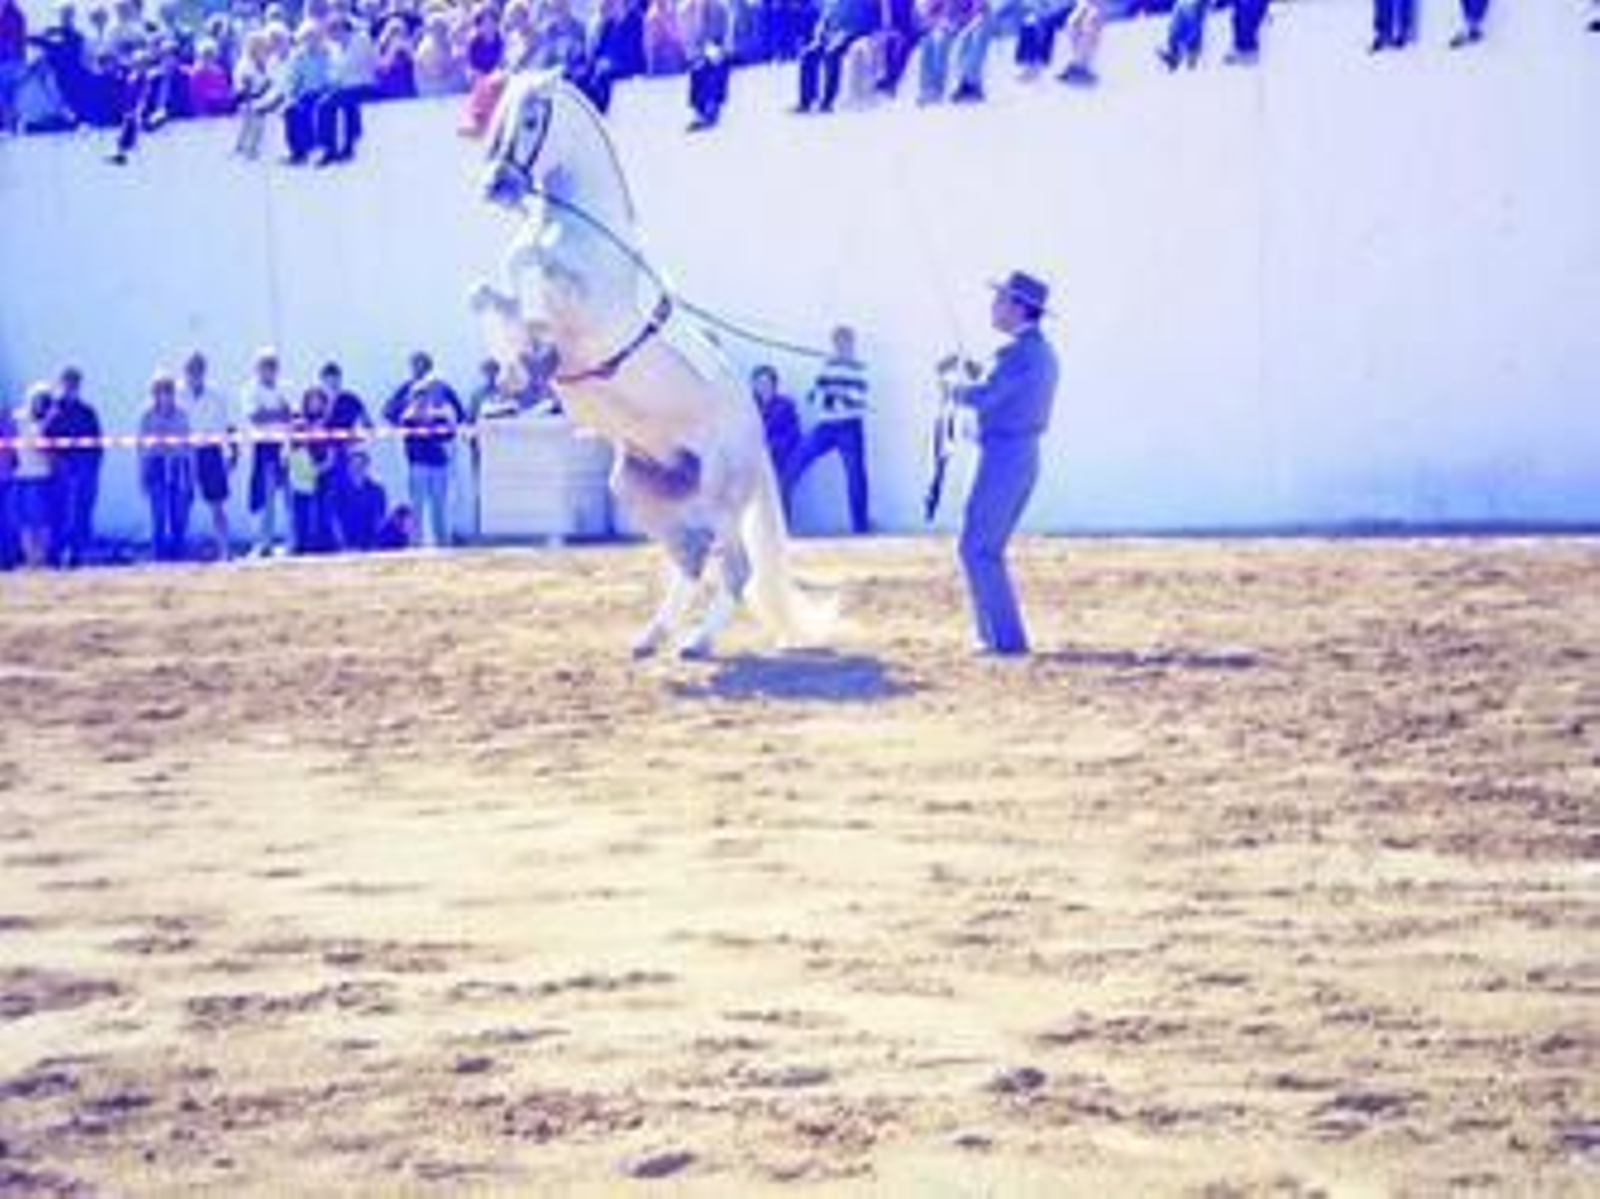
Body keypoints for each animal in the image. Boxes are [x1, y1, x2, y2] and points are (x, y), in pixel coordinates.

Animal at [470, 70, 831, 659]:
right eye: (498, 112)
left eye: (531, 117)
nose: (495, 186)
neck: (580, 229)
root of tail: (755, 434)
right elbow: (485, 293)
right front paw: (519, 375)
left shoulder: (587, 303)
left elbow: (529, 266)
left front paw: (536, 359)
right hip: (641, 489)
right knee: (691, 557)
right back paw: (651, 637)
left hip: (720, 496)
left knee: (734, 568)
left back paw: (696, 643)